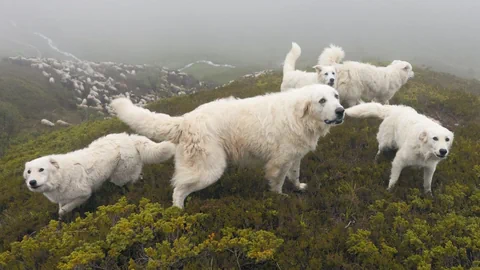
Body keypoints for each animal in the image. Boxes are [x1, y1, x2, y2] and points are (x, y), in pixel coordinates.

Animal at [23, 133, 176, 217]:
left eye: (41, 169)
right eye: (29, 172)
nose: (32, 182)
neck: (60, 175)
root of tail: (129, 138)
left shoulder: (84, 194)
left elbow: (65, 209)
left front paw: (63, 216)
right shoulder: (63, 197)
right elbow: (61, 207)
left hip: (120, 176)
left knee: (132, 182)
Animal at [111, 84, 344, 209]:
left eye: (336, 96)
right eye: (322, 100)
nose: (341, 111)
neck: (299, 116)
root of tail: (185, 120)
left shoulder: (293, 157)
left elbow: (294, 175)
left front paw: (298, 188)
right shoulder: (279, 162)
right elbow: (277, 183)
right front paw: (279, 198)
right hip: (209, 169)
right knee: (178, 190)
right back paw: (178, 212)